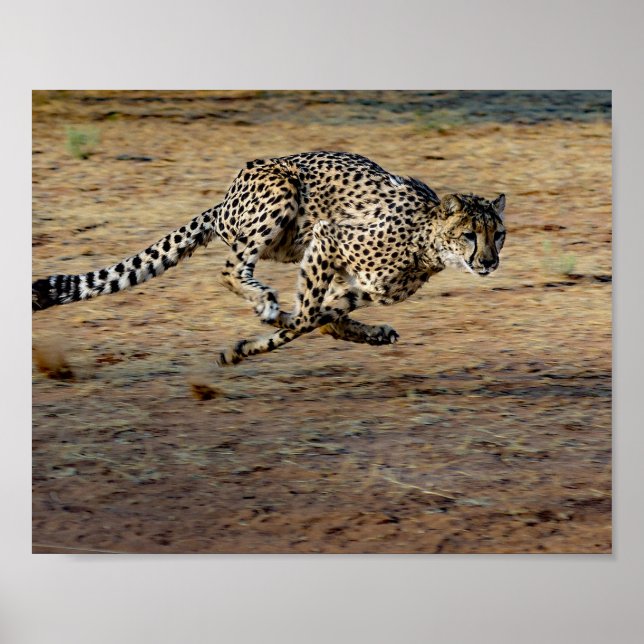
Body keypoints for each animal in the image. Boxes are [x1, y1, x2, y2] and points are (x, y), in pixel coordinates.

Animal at [32, 151, 506, 366]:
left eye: (498, 235)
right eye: (469, 235)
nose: (489, 262)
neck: (427, 242)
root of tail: (224, 199)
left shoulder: (357, 286)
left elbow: (317, 320)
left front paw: (247, 346)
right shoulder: (328, 237)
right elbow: (305, 318)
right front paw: (257, 335)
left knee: (318, 316)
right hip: (282, 191)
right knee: (230, 270)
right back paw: (264, 301)